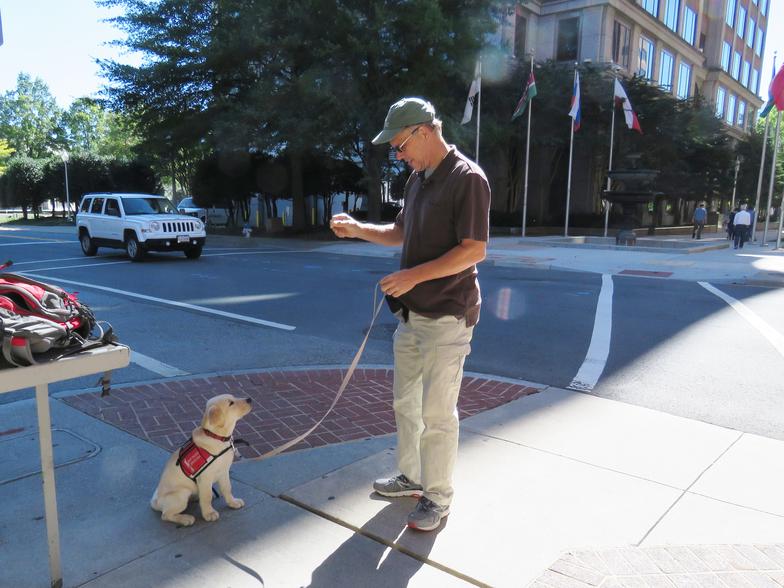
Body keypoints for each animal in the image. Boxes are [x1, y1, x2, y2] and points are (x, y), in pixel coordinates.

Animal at [152, 392, 253, 524]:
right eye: (231, 403)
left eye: (234, 397)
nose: (250, 399)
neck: (217, 437)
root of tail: (156, 502)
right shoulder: (205, 478)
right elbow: (207, 496)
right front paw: (209, 513)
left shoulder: (224, 472)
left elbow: (227, 488)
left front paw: (233, 502)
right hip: (181, 494)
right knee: (165, 515)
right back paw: (185, 519)